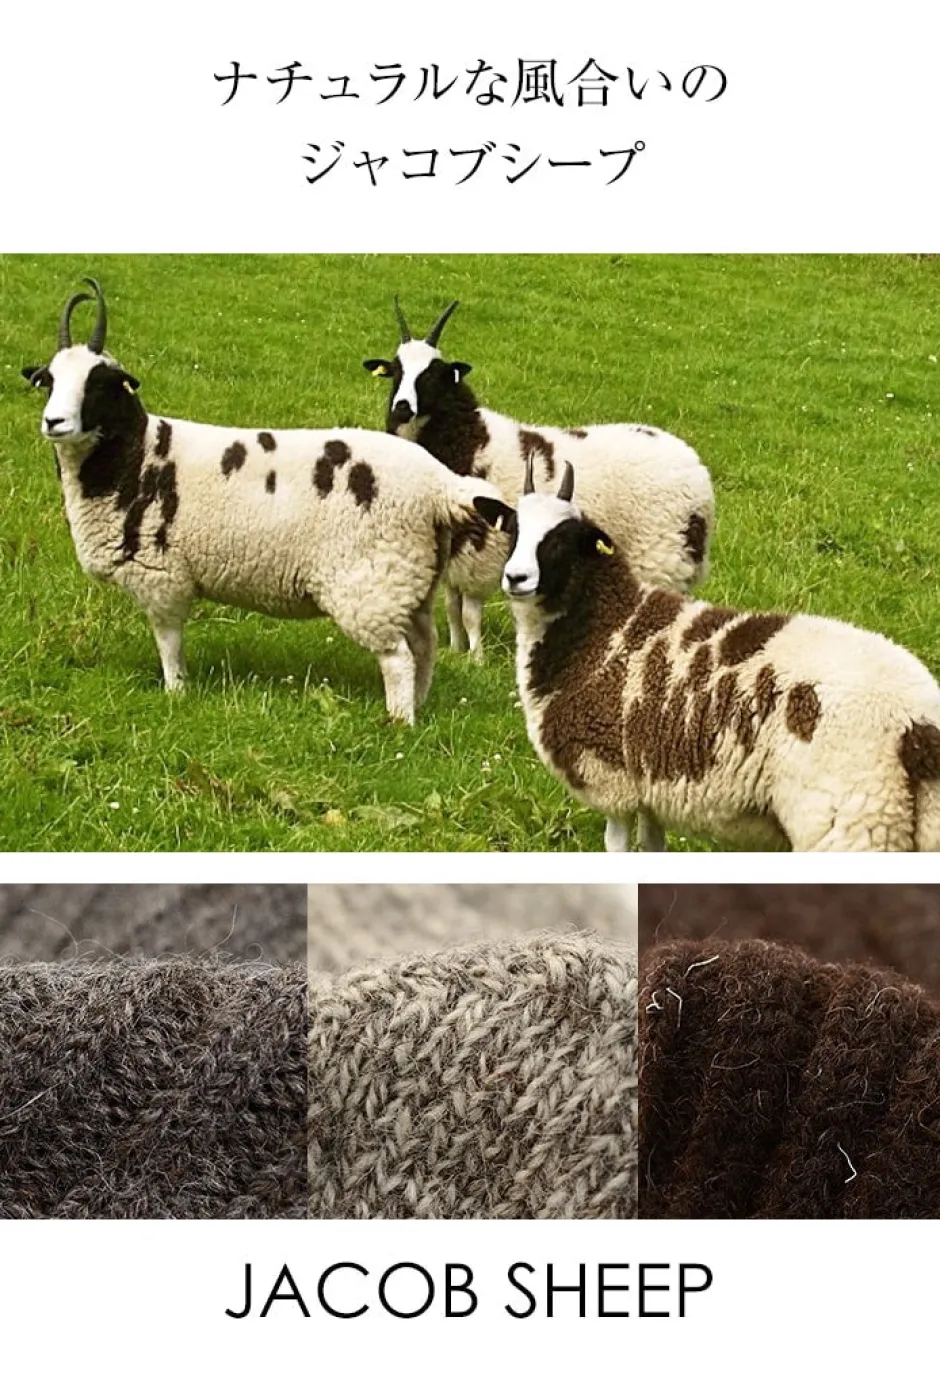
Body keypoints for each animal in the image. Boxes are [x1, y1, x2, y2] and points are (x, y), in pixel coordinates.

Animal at [21, 278, 504, 724]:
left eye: (100, 385)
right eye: (48, 381)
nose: (54, 422)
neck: (134, 457)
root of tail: (439, 484)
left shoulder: (163, 577)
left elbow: (169, 644)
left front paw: (176, 696)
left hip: (371, 585)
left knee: (398, 658)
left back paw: (399, 723)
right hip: (410, 580)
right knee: (425, 649)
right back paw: (417, 710)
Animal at [362, 298, 715, 666]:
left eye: (432, 374)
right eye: (395, 371)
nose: (402, 408)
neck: (469, 439)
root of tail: (697, 470)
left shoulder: (480, 547)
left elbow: (471, 611)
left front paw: (477, 659)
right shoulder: (456, 543)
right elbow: (451, 605)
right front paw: (456, 650)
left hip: (663, 557)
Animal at [472, 459, 940, 852]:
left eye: (562, 540)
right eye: (512, 530)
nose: (516, 578)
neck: (601, 626)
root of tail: (917, 724)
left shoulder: (610, 779)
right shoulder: (651, 784)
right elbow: (653, 848)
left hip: (852, 821)